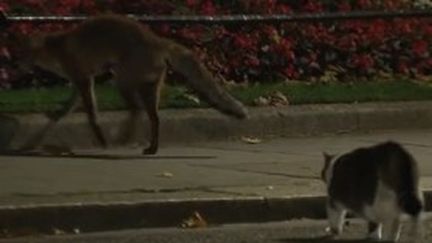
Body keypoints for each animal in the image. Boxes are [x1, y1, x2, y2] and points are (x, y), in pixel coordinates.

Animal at [1, 13, 248, 154]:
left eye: (21, 56)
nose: (11, 68)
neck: (56, 49)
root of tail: (158, 40)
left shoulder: (83, 79)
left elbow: (92, 116)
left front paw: (101, 139)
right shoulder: (80, 82)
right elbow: (64, 111)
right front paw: (43, 130)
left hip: (122, 82)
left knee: (137, 110)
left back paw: (124, 139)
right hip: (145, 88)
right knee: (154, 118)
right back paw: (151, 148)